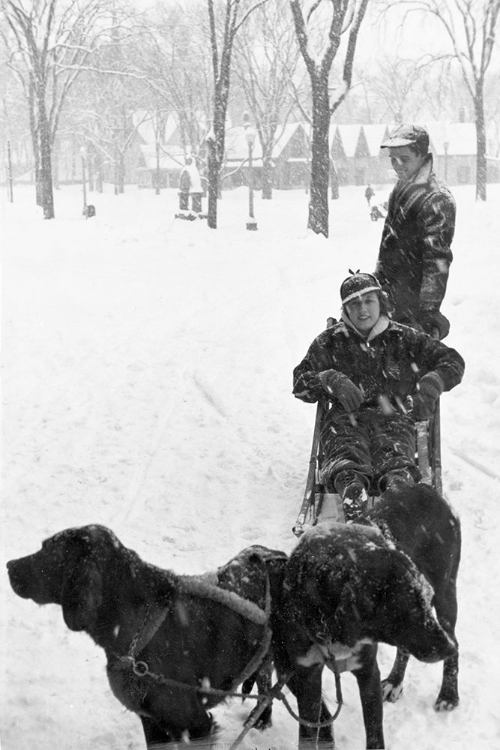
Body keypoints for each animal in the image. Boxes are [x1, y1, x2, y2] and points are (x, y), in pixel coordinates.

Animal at [7, 524, 288, 748]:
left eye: (47, 550)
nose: (9, 565)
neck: (138, 630)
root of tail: (279, 555)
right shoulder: (151, 721)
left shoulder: (197, 726)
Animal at [272, 482, 458, 750]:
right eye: (408, 609)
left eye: (425, 600)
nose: (448, 648)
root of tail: (427, 488)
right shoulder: (308, 677)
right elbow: (309, 732)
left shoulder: (368, 671)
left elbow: (374, 733)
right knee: (405, 649)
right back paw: (396, 681)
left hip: (445, 596)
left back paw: (448, 694)